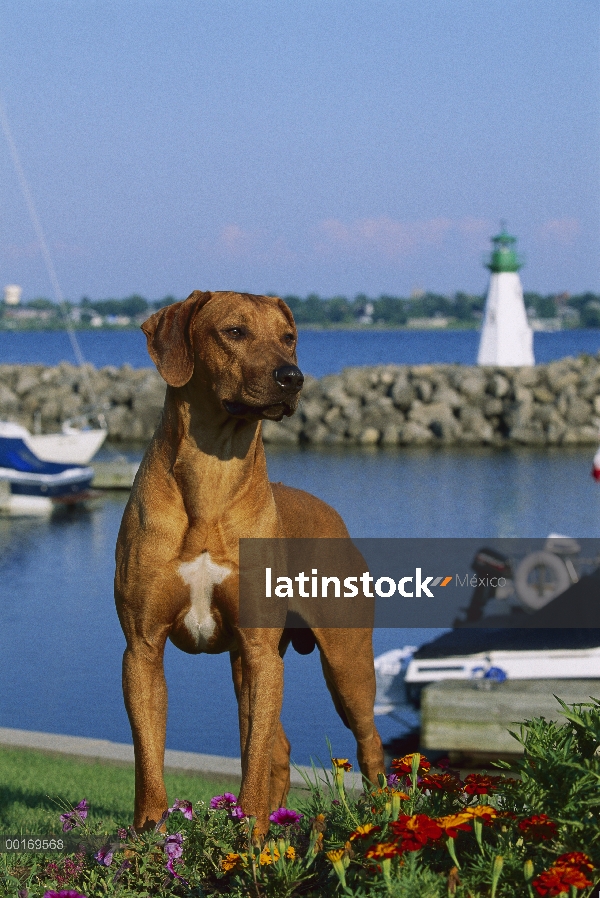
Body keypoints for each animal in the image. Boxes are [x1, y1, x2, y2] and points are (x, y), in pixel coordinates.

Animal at [113, 292, 384, 832]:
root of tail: (335, 516)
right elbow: (148, 756)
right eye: (234, 332)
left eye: (289, 337)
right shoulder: (142, 647)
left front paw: (250, 832)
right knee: (279, 747)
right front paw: (149, 835)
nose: (292, 376)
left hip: (346, 661)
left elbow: (254, 757)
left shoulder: (259, 650)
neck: (212, 475)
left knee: (368, 741)